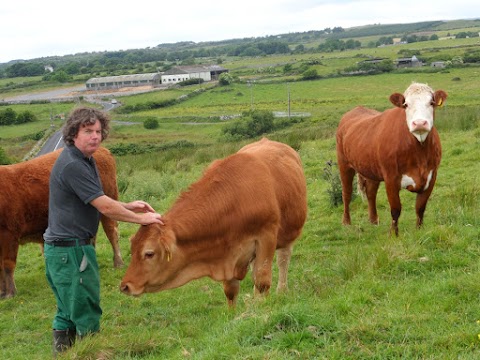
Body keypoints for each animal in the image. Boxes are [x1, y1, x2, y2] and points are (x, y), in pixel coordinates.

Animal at [0, 146, 124, 298]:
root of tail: (102, 149)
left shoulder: (9, 234)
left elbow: (7, 265)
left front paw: (10, 293)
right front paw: (2, 292)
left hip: (108, 202)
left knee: (112, 233)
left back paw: (118, 262)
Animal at [120, 138, 308, 306]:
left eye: (149, 253)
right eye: (132, 249)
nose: (125, 286)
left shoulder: (266, 237)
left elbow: (262, 281)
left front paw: (260, 309)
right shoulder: (228, 254)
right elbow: (231, 291)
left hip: (288, 232)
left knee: (283, 259)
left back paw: (281, 290)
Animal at [336, 82, 448, 236]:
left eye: (431, 103)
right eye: (406, 105)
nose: (419, 123)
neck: (419, 153)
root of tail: (356, 109)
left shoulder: (431, 176)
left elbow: (420, 207)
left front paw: (419, 230)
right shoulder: (390, 178)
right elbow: (396, 209)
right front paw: (394, 234)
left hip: (371, 168)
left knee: (371, 193)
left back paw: (374, 220)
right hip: (344, 164)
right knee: (346, 194)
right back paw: (346, 222)